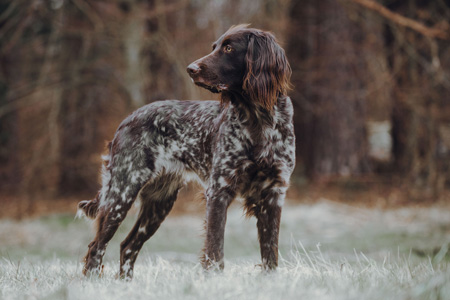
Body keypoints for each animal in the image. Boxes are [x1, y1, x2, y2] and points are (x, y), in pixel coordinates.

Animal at [77, 24, 296, 280]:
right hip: (122, 192)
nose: (191, 69)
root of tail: (127, 120)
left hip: (159, 203)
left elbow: (270, 253)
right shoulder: (219, 191)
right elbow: (215, 252)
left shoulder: (273, 194)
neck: (258, 119)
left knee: (128, 246)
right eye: (214, 47)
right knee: (97, 247)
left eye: (229, 48)